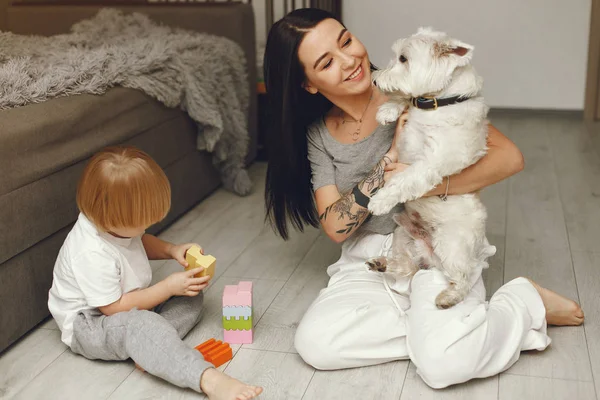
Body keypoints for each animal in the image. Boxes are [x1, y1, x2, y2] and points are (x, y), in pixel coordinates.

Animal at [366, 28, 496, 310]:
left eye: (403, 58)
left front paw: (379, 201)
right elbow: (406, 99)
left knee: (463, 276)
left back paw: (448, 298)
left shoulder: (431, 162)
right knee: (406, 266)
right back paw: (382, 263)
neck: (440, 103)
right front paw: (388, 110)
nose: (375, 79)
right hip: (402, 234)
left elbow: (404, 179)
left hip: (451, 245)